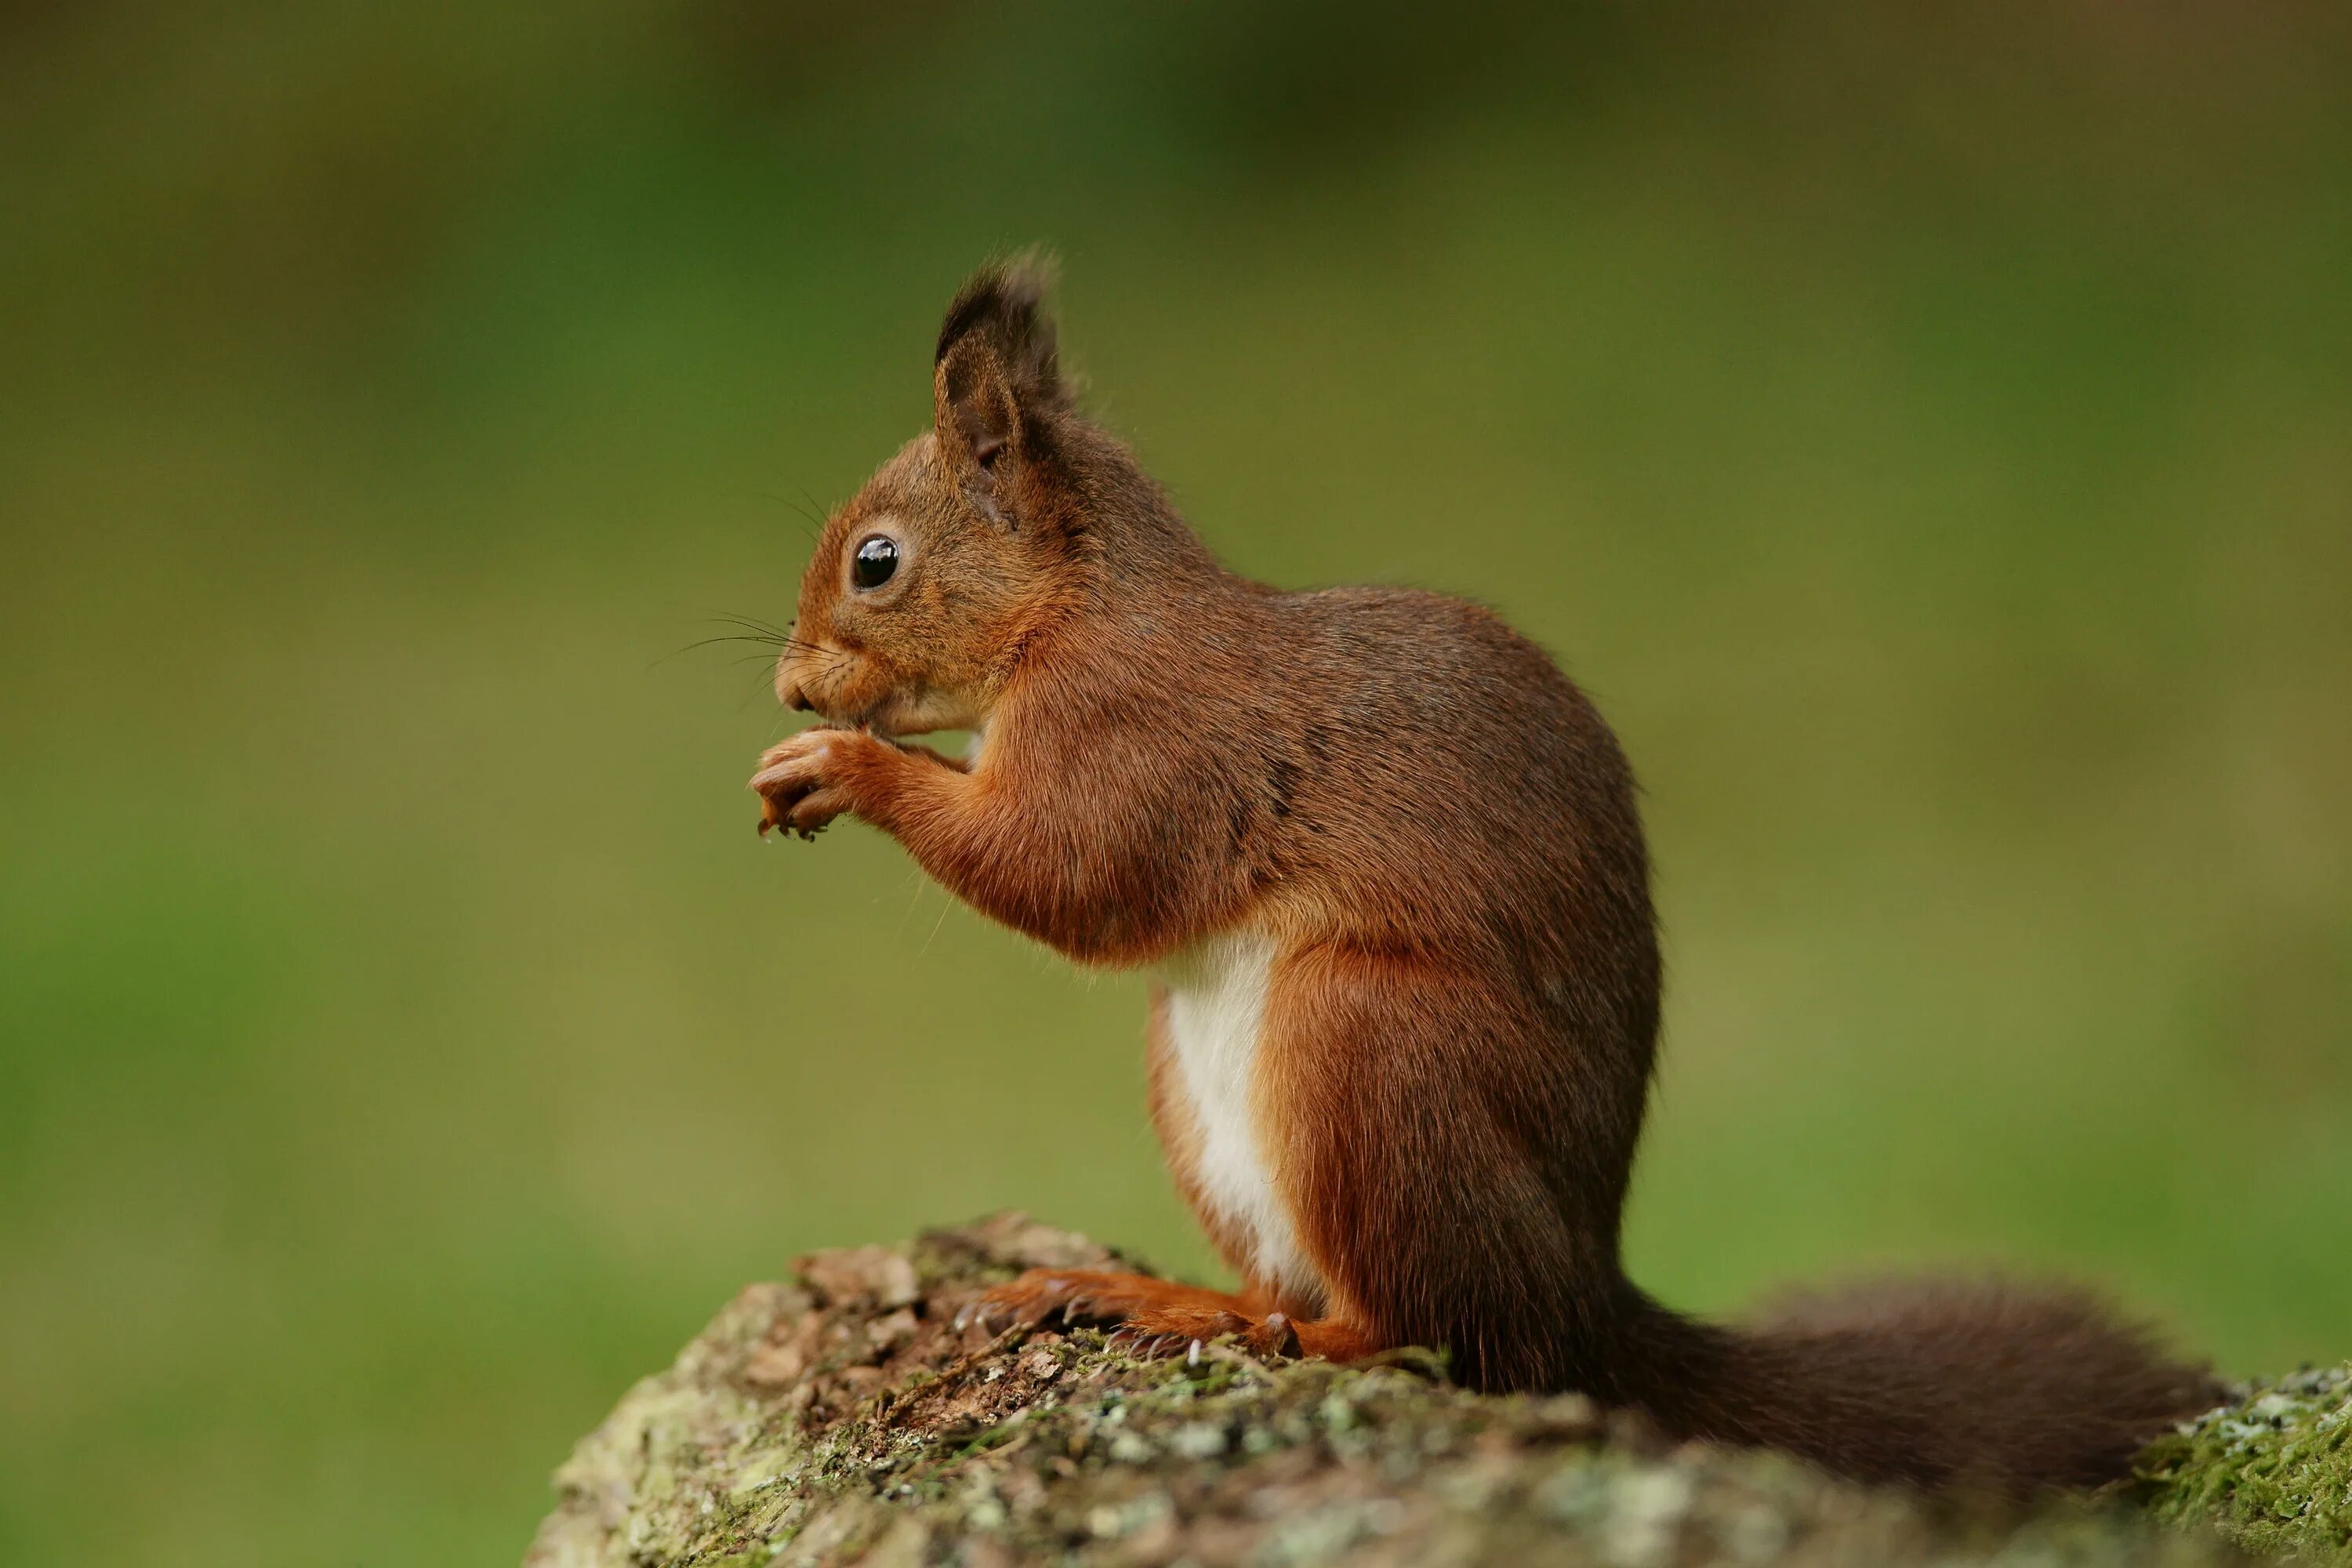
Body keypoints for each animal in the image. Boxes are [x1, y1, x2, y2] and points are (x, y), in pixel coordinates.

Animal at [743, 260, 2211, 1495]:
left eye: (876, 562)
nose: (792, 684)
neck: (1077, 611)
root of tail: (1589, 1295)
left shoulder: (1141, 737)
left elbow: (1069, 870)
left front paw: (844, 768)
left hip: (1369, 1044)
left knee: (1442, 1336)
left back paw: (1279, 1334)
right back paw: (1185, 1302)